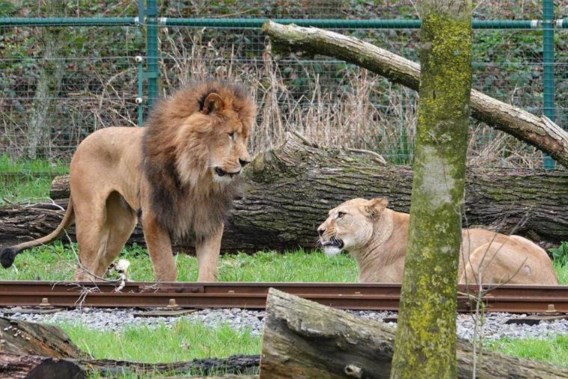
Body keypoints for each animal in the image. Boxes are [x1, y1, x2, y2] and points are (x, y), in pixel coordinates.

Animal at [1, 80, 256, 282]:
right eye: (230, 135)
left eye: (245, 136)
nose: (246, 161)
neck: (197, 178)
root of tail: (82, 143)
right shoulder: (153, 218)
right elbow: (166, 268)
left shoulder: (209, 220)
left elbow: (209, 271)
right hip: (92, 219)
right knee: (83, 268)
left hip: (121, 225)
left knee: (98, 266)